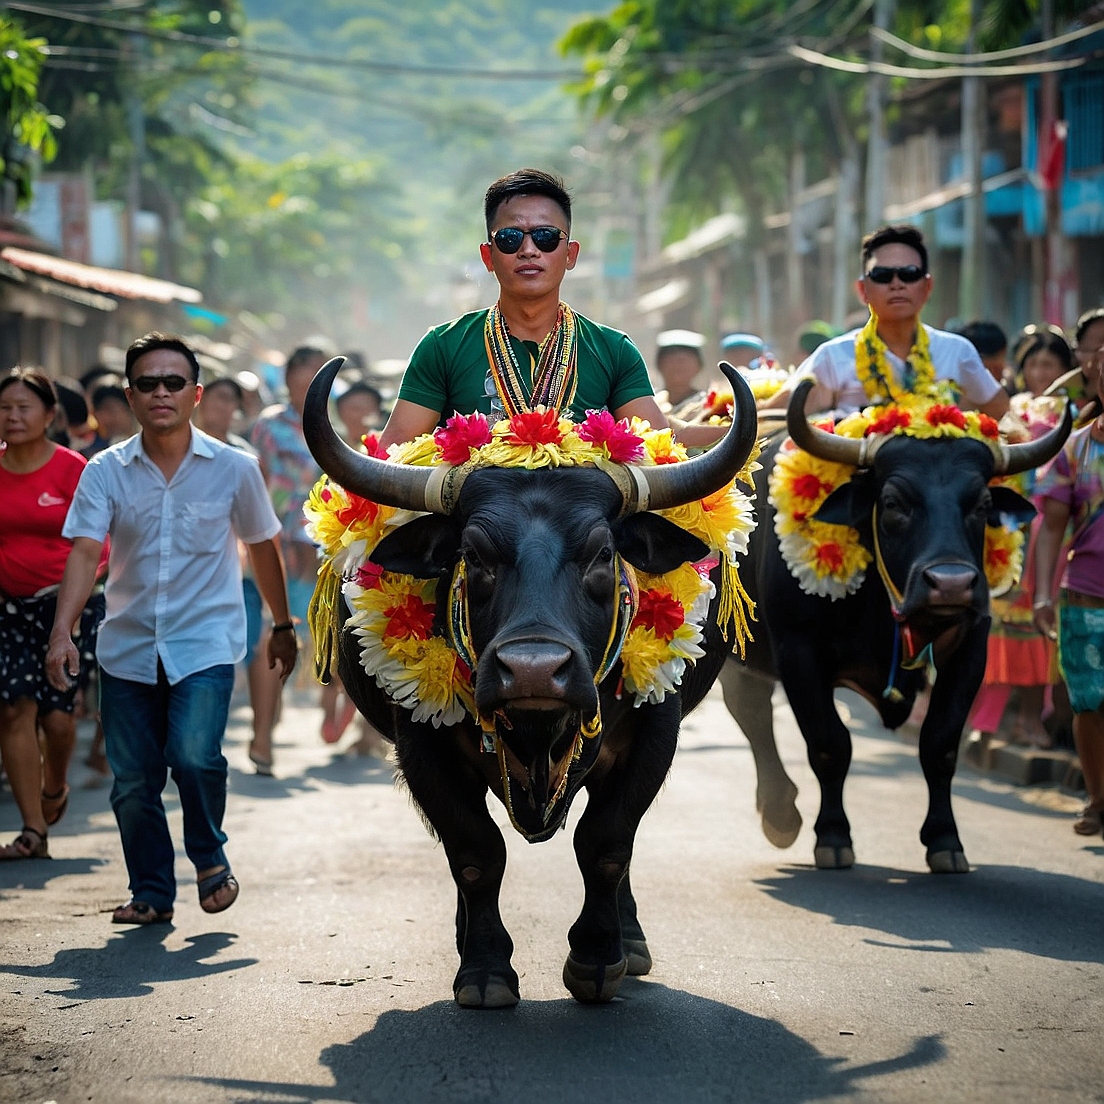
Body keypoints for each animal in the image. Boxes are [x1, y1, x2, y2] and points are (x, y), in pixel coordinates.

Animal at [302, 359, 759, 1011]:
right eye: (473, 554)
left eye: (602, 554)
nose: (535, 670)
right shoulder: (422, 747)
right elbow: (475, 853)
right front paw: (485, 970)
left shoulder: (653, 737)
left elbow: (606, 844)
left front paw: (597, 960)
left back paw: (630, 941)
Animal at [719, 384, 1073, 874]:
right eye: (893, 503)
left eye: (982, 504)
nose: (951, 584)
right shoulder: (798, 651)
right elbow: (829, 744)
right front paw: (833, 837)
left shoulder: (971, 648)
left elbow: (940, 744)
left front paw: (945, 840)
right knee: (749, 710)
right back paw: (781, 814)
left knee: (750, 707)